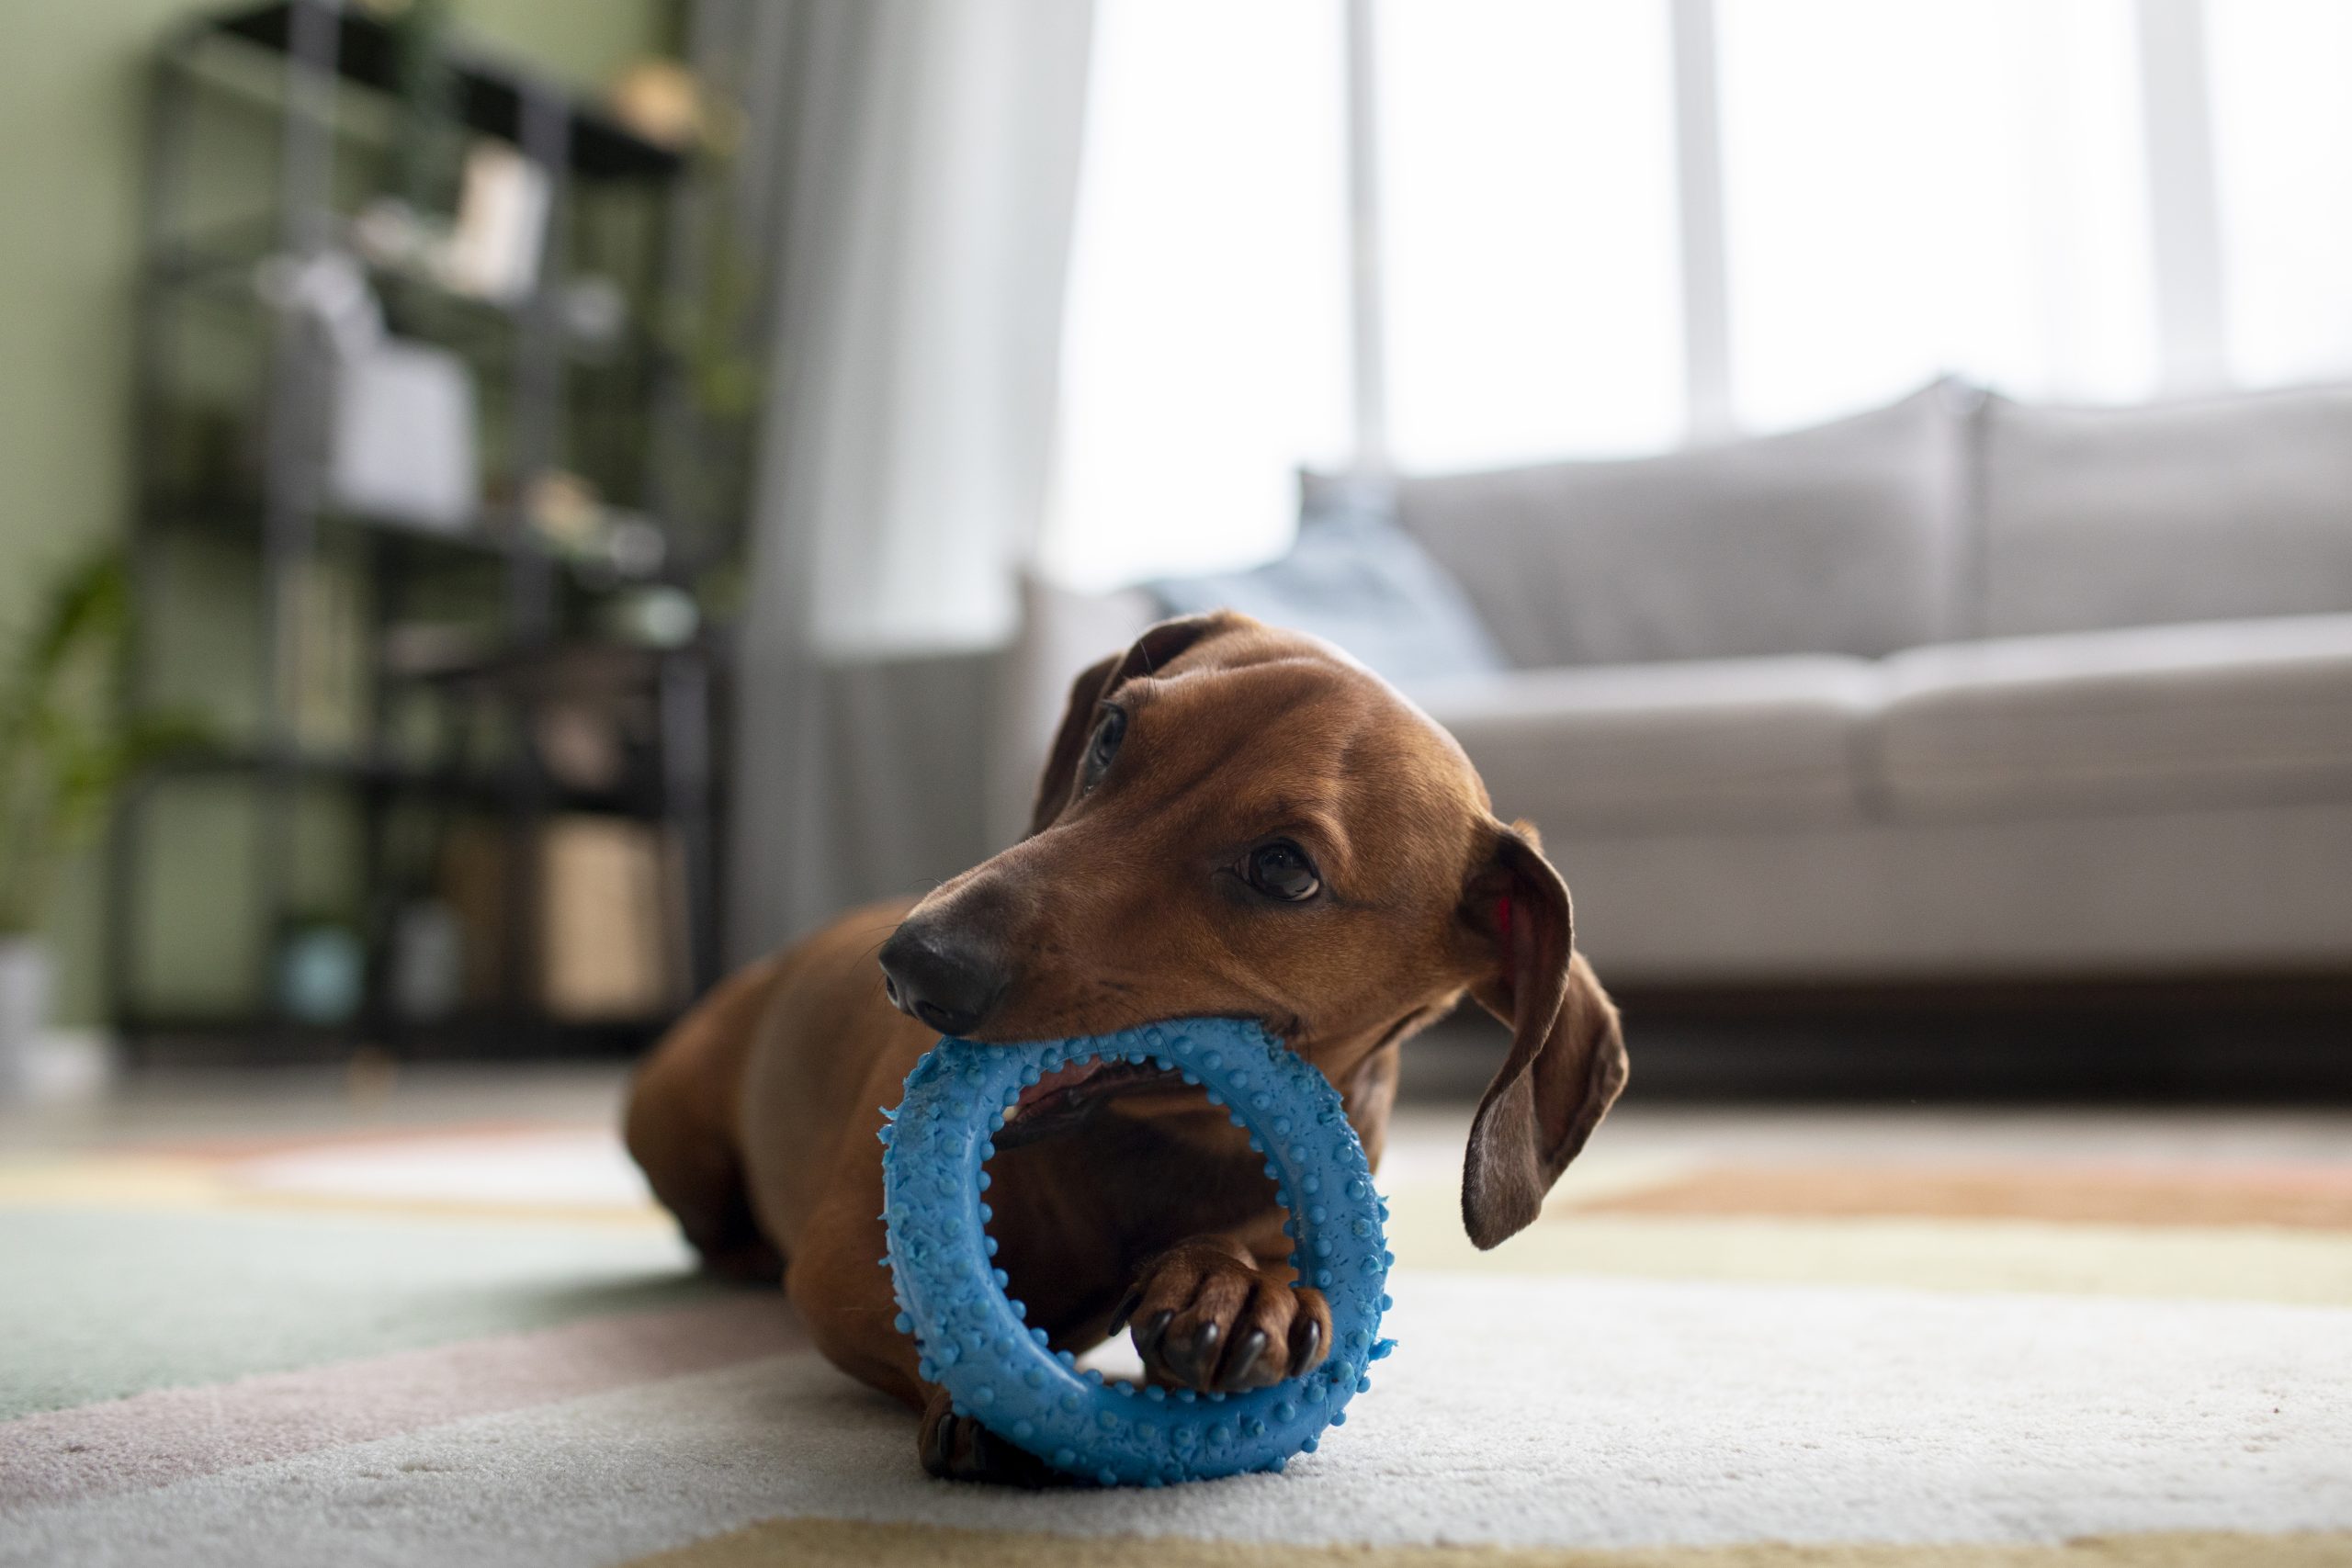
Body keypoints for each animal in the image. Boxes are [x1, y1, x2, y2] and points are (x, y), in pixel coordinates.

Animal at [616, 611, 1627, 1485]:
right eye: (1110, 732)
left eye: (1284, 869)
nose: (912, 965)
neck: (1152, 1149)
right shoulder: (841, 1264)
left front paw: (1237, 1287)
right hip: (674, 1134)